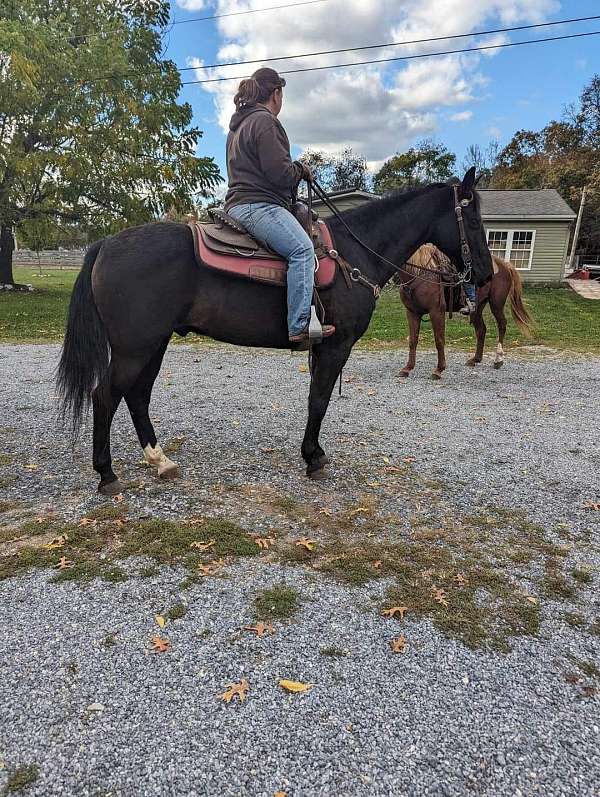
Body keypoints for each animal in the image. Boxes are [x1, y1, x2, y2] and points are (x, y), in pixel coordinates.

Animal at [57, 168, 492, 492]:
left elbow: (316, 400)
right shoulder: (336, 346)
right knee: (105, 396)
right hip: (134, 347)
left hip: (153, 343)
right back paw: (107, 474)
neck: (355, 253)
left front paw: (313, 453)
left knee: (137, 396)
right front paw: (313, 458)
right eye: (472, 219)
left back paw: (159, 460)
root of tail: (106, 244)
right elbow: (319, 401)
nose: (486, 275)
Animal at [396, 244, 532, 378]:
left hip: (496, 304)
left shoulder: (436, 312)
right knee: (481, 330)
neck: (419, 273)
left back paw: (498, 359)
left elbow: (439, 340)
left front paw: (439, 369)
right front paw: (407, 368)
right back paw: (475, 359)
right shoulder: (412, 312)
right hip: (477, 308)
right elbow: (413, 340)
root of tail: (505, 264)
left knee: (502, 325)